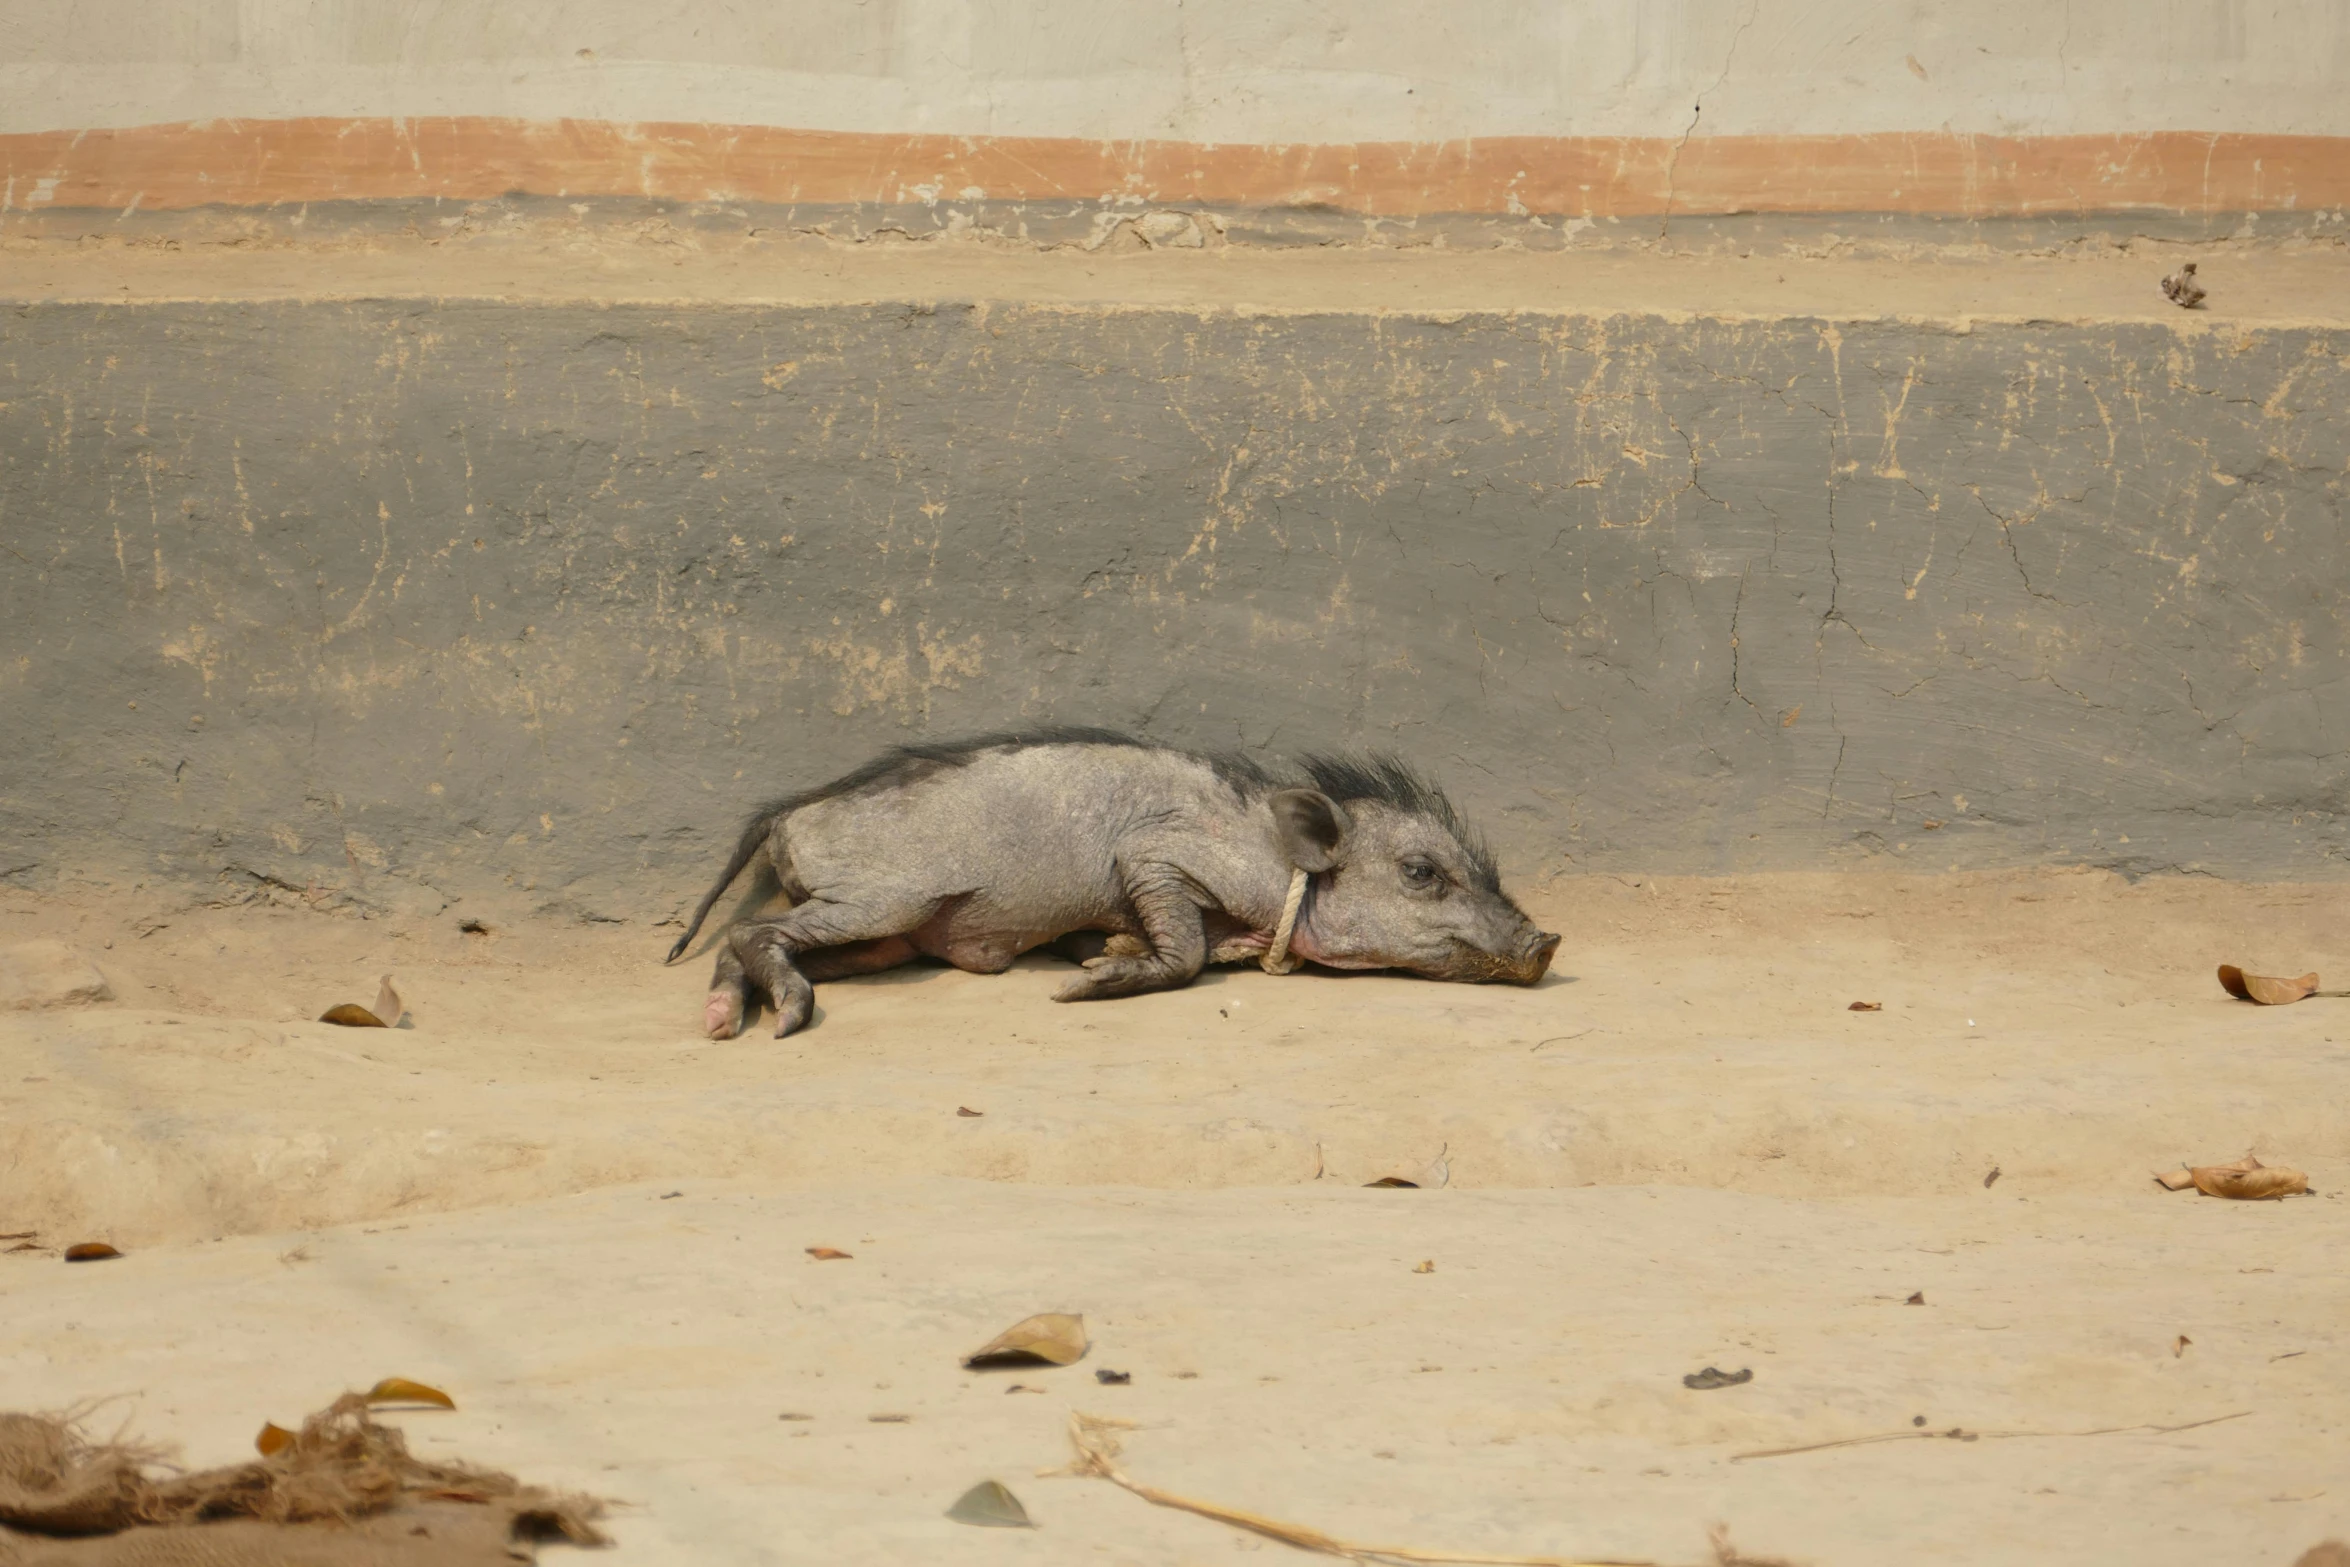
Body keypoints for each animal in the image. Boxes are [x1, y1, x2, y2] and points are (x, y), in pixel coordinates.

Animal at [662, 728, 1550, 1033]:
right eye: (1421, 872)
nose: (1548, 938)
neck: (1273, 858)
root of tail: (786, 813)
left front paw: (1101, 954)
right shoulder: (1155, 855)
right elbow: (1182, 951)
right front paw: (1082, 982)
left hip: (885, 936)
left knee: (742, 947)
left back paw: (721, 1021)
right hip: (884, 899)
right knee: (750, 930)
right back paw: (782, 1021)